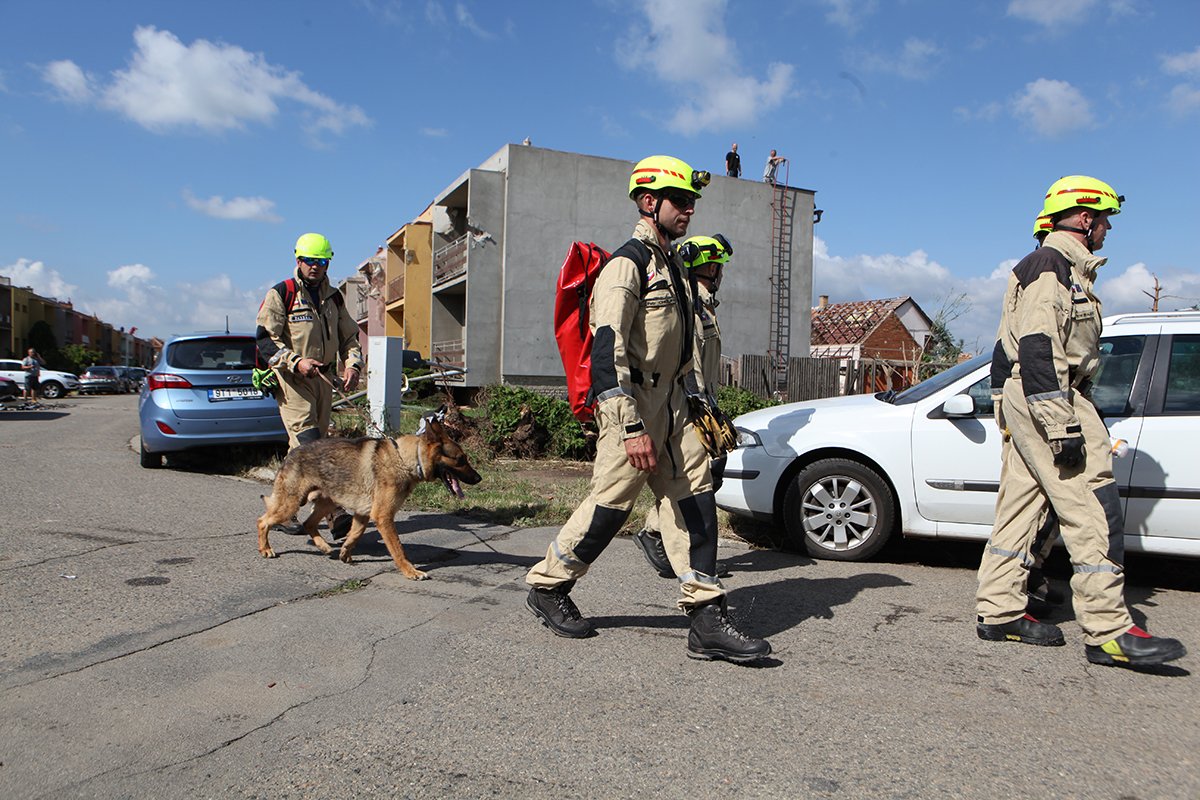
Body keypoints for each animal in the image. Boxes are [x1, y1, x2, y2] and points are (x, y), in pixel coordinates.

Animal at [258, 417, 482, 578]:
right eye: (461, 460)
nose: (479, 478)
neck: (405, 459)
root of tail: (291, 453)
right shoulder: (383, 517)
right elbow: (398, 549)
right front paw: (410, 571)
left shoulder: (362, 514)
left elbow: (355, 535)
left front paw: (345, 553)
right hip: (290, 505)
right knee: (263, 521)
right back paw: (266, 549)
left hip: (326, 503)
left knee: (308, 524)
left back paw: (324, 547)